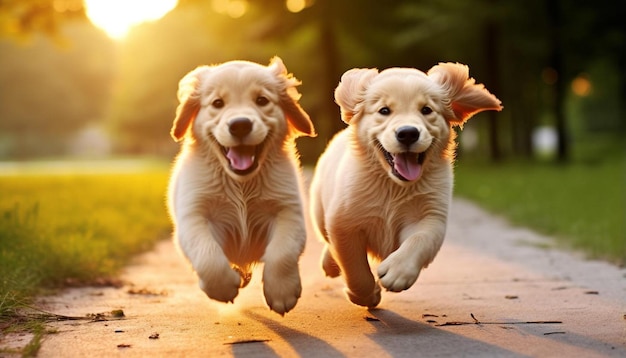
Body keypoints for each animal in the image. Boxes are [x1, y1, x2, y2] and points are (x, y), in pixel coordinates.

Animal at [166, 57, 314, 314]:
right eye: (217, 103)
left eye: (262, 100)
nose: (240, 125)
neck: (241, 183)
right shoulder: (194, 216)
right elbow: (208, 256)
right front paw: (223, 288)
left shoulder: (288, 211)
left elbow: (282, 253)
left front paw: (282, 292)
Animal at [310, 62, 500, 308]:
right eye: (384, 110)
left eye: (426, 110)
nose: (408, 133)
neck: (393, 185)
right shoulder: (344, 222)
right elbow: (354, 267)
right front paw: (367, 294)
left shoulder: (430, 215)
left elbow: (420, 239)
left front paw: (397, 272)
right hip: (318, 209)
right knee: (326, 238)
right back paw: (330, 264)